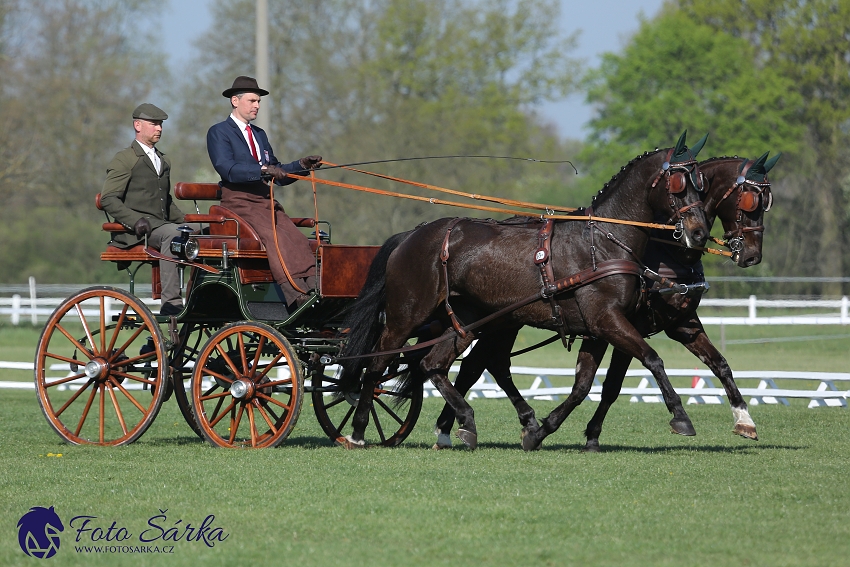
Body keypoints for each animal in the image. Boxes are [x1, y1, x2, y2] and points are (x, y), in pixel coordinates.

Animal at [336, 135, 708, 450]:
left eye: (701, 184)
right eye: (679, 183)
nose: (700, 232)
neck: (602, 243)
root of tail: (412, 235)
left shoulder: (597, 330)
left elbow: (584, 385)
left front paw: (541, 430)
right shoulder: (607, 321)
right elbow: (652, 358)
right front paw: (681, 416)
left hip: (467, 321)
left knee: (434, 364)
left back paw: (468, 422)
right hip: (407, 316)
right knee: (377, 362)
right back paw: (358, 429)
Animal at [434, 151, 780, 452]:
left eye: (765, 202)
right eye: (749, 199)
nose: (752, 255)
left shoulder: (680, 323)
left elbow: (719, 364)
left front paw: (744, 419)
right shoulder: (619, 325)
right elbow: (615, 383)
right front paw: (590, 434)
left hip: (505, 321)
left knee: (483, 363)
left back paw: (458, 425)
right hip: (502, 322)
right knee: (476, 365)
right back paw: (450, 428)